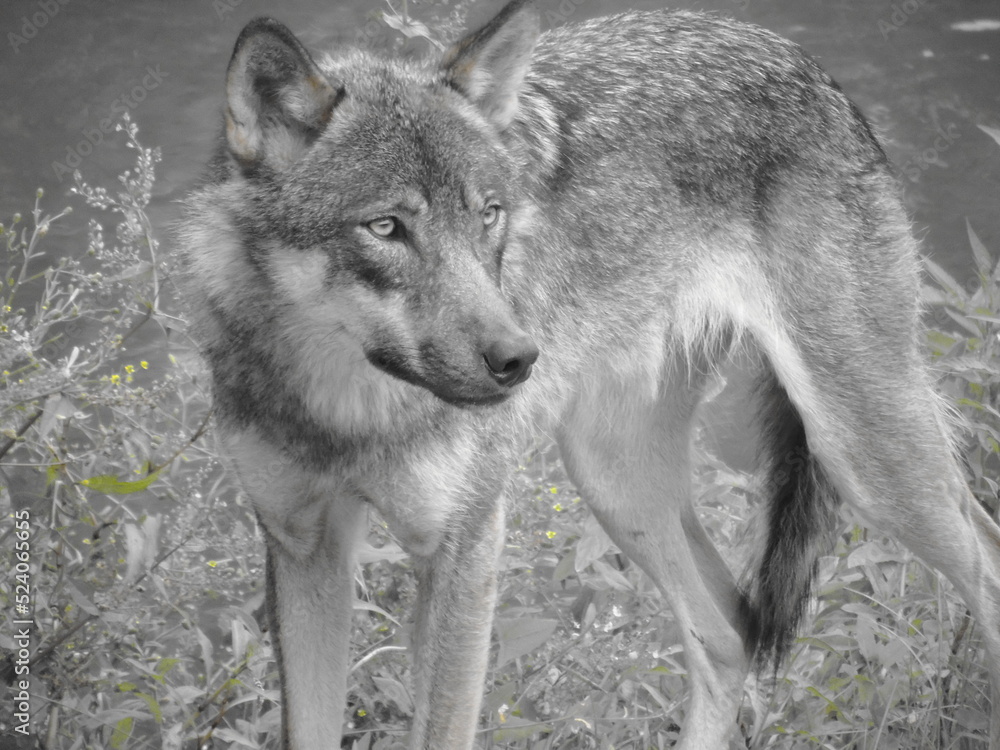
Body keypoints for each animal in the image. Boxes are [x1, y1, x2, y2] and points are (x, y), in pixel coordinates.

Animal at [180, 0, 1000, 747]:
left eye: (489, 214)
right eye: (385, 227)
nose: (518, 357)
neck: (346, 407)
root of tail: (803, 61)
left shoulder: (464, 550)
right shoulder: (302, 548)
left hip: (864, 457)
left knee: (984, 571)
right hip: (616, 480)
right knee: (726, 636)